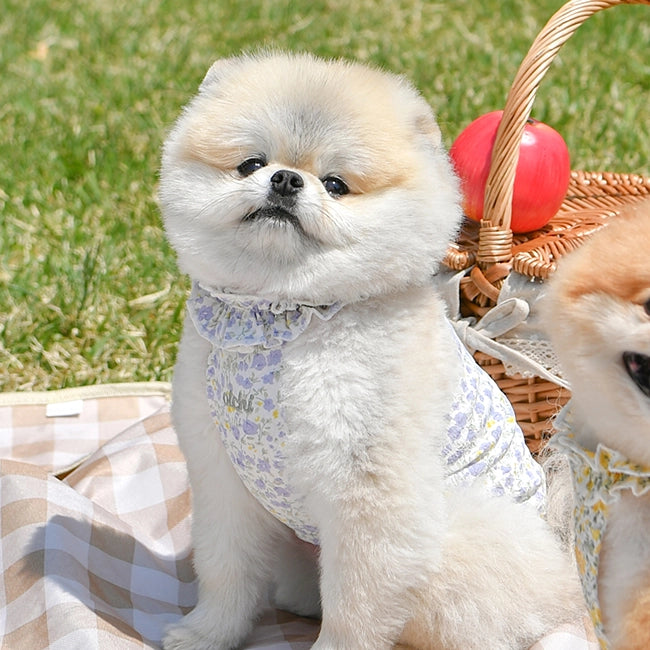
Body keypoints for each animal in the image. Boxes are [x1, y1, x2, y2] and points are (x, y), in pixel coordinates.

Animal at [159, 52, 580, 648]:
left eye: (336, 184)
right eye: (250, 164)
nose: (285, 178)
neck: (281, 312)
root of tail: (564, 577)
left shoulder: (368, 496)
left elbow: (354, 605)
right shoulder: (221, 474)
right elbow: (225, 569)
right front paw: (207, 634)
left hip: (462, 531)